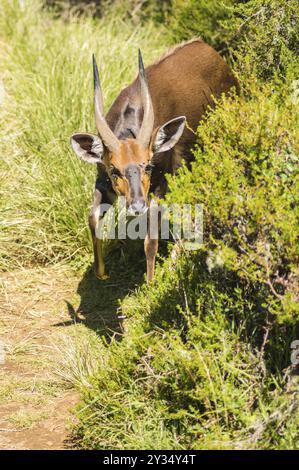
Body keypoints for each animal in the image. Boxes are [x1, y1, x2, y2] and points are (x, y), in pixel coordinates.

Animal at [70, 38, 239, 280]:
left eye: (148, 165)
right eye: (114, 169)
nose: (136, 205)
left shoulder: (162, 183)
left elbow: (150, 238)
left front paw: (152, 282)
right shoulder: (103, 182)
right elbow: (93, 218)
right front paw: (101, 272)